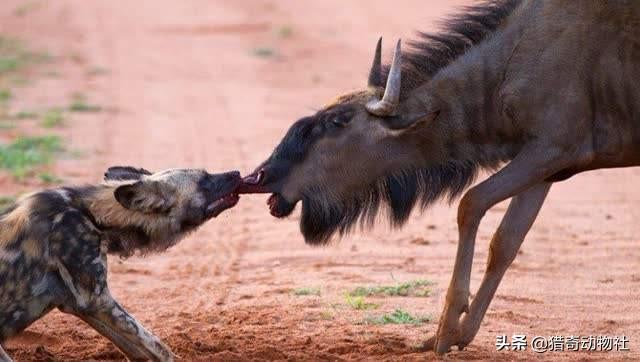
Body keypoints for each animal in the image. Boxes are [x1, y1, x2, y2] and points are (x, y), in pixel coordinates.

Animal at [0, 167, 240, 362]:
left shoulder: (80, 304)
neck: (92, 214)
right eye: (204, 180)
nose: (237, 173)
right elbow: (157, 346)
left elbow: (142, 350)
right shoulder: (97, 300)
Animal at [239, 0, 640, 356]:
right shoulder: (547, 164)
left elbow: (471, 203)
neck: (513, 61)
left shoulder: (551, 149)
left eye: (337, 121)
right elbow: (506, 241)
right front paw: (459, 332)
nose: (261, 175)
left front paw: (447, 329)